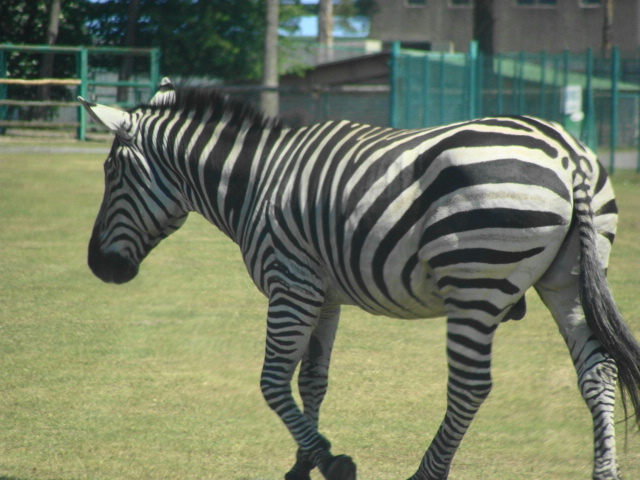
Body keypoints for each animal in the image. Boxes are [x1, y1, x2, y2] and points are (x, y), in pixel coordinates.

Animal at [79, 78, 640, 480]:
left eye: (110, 172)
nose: (98, 268)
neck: (257, 184)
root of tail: (567, 154)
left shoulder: (290, 283)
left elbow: (271, 381)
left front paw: (332, 463)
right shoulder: (322, 295)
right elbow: (312, 379)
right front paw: (302, 464)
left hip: (475, 284)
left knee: (470, 386)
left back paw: (425, 474)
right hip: (569, 280)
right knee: (598, 371)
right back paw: (604, 471)